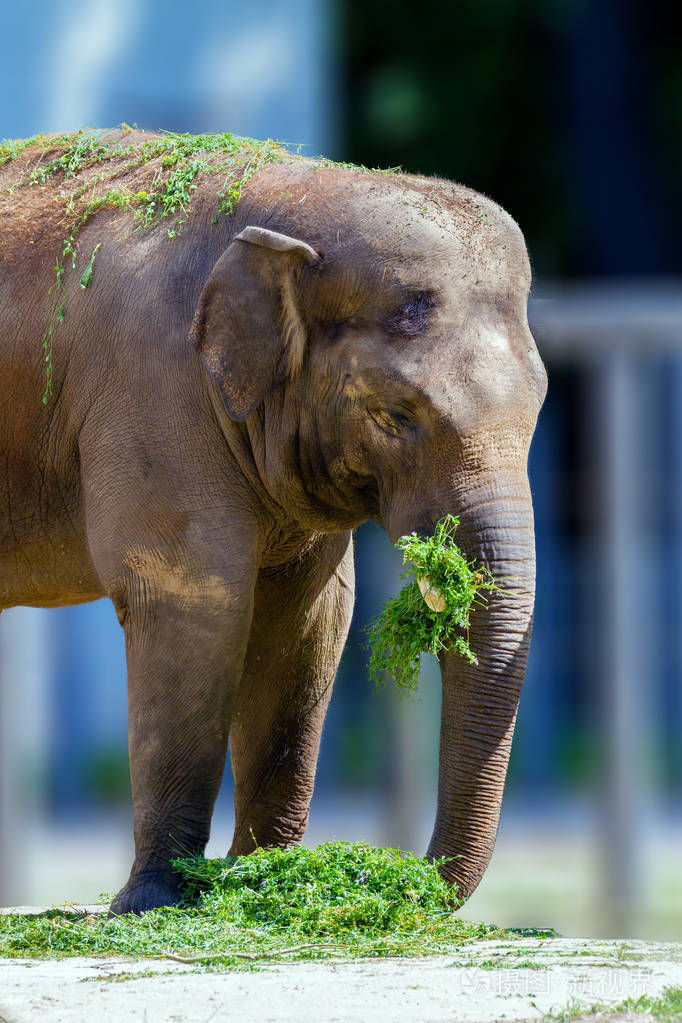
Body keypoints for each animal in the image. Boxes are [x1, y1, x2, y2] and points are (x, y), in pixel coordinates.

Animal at [0, 129, 548, 920]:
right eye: (396, 416)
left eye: (540, 405)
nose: (411, 883)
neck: (292, 201)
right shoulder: (154, 392)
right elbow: (196, 606)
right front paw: (154, 903)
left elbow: (307, 622)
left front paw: (262, 880)